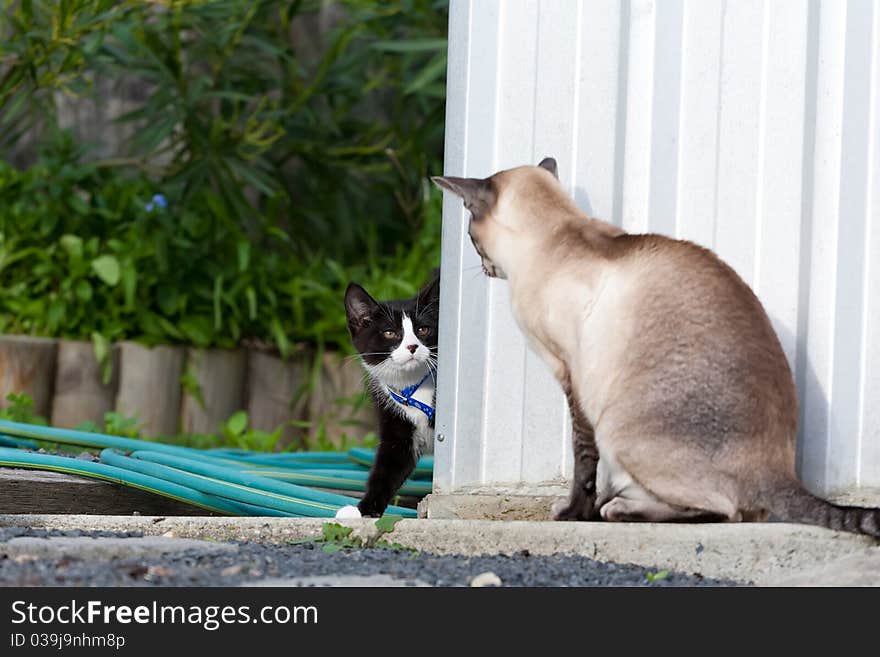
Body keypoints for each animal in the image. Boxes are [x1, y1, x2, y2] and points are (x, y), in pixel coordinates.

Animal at [338, 272, 444, 516]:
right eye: (389, 333)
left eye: (423, 330)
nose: (412, 346)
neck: (413, 387)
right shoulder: (395, 420)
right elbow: (388, 467)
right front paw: (362, 510)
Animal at [432, 160, 880, 540]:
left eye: (470, 236)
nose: (483, 266)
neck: (557, 233)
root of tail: (780, 471)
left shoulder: (571, 376)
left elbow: (583, 461)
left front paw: (575, 513)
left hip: (617, 428)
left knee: (725, 511)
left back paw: (617, 509)